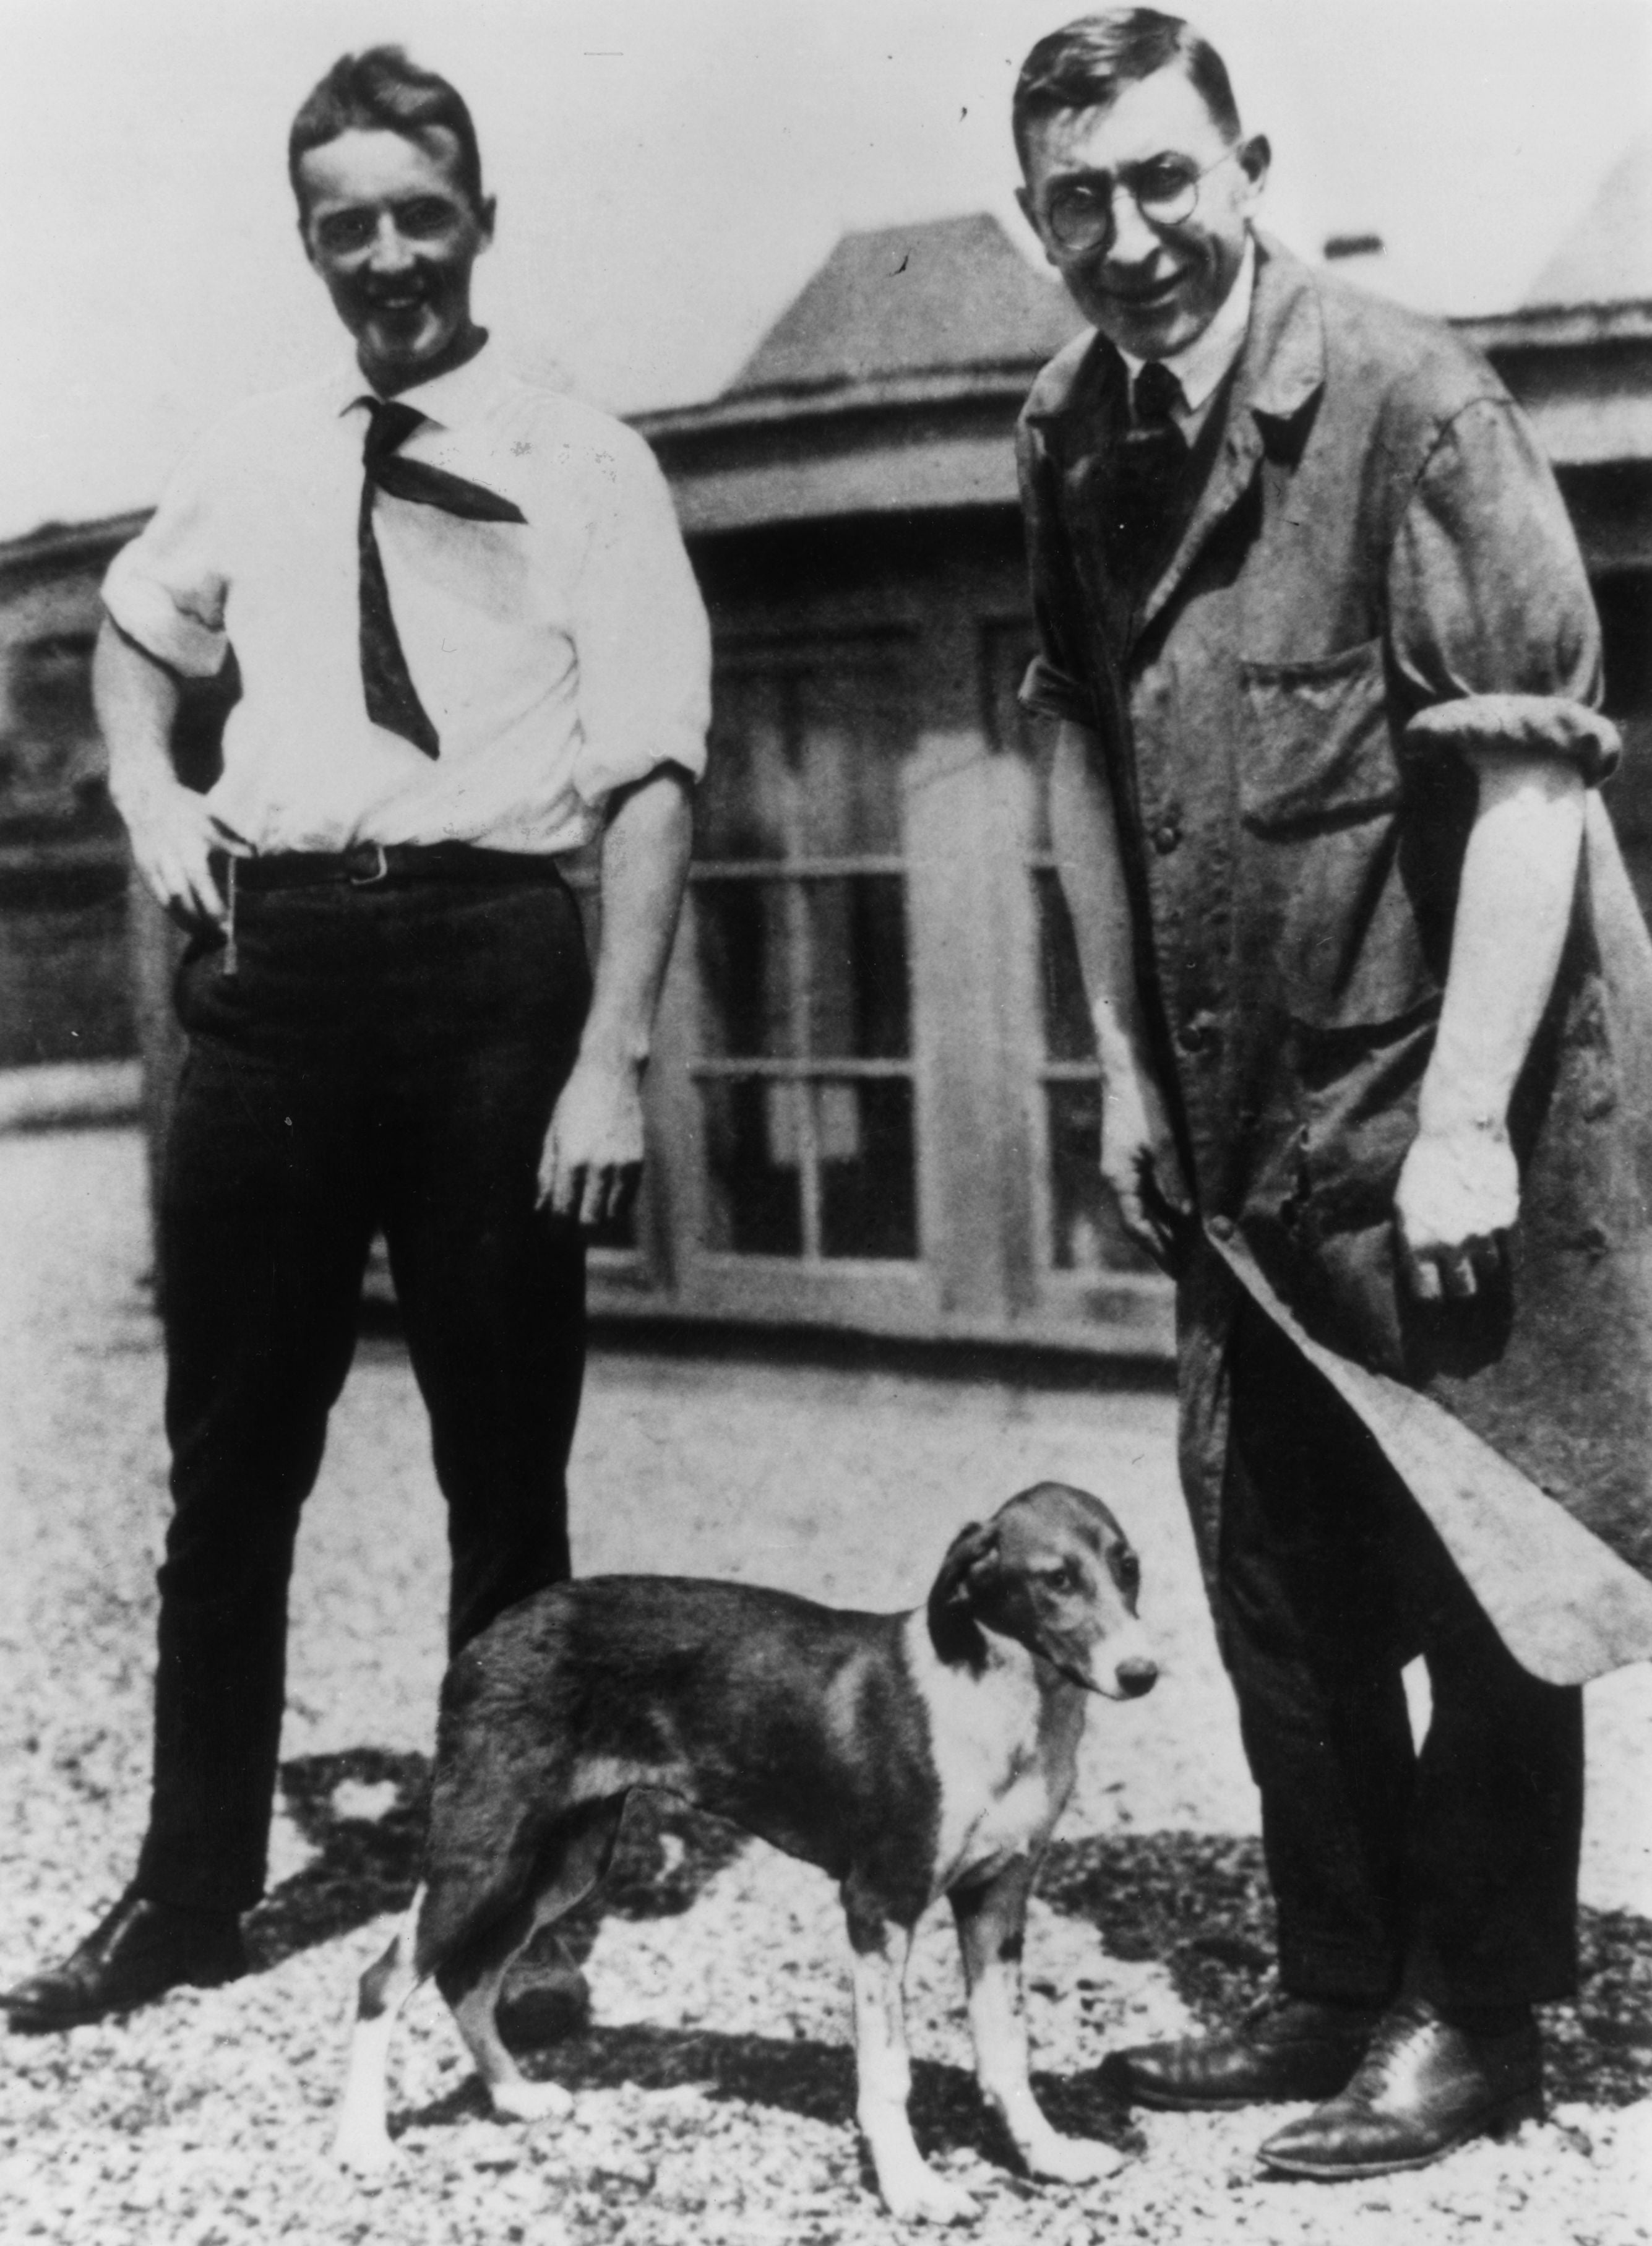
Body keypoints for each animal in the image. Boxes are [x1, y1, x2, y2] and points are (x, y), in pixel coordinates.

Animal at [332, 1473, 1158, 2227]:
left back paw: (514, 2095)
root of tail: (491, 1635)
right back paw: (365, 2144)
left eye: (1128, 1567)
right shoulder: (879, 1906)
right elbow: (888, 2073)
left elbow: (1007, 2049)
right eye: (1057, 1579)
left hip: (562, 1862)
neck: (1005, 1705)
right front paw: (912, 2188)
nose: (1142, 1673)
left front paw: (1047, 2155)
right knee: (383, 1981)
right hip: (482, 1853)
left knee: (467, 1978)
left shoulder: (997, 1900)